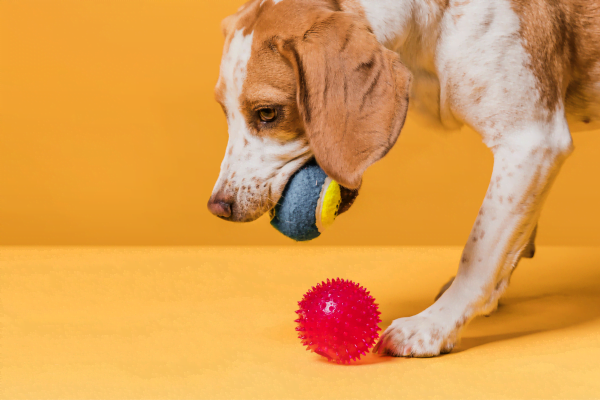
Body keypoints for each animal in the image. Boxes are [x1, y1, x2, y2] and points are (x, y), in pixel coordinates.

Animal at [207, 0, 600, 356]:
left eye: (267, 113)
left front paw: (435, 325)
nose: (218, 207)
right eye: (225, 113)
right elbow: (508, 241)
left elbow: (479, 252)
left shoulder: (530, 140)